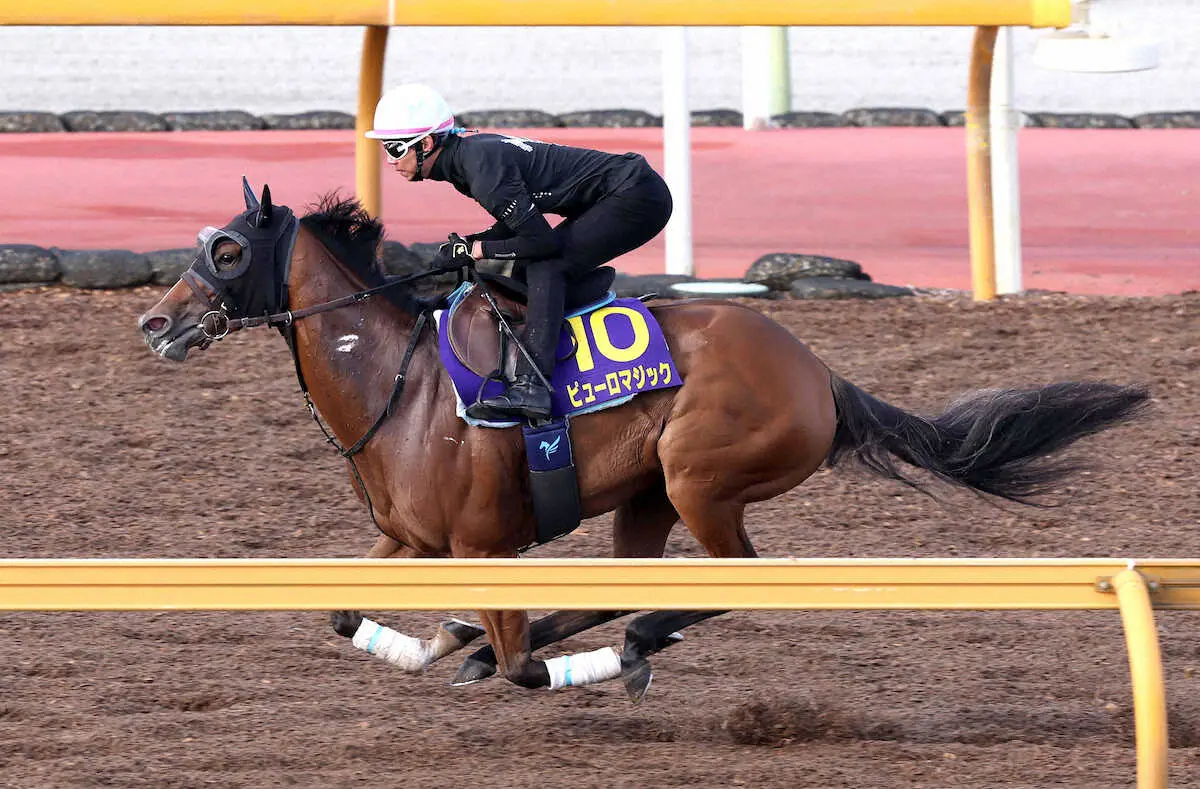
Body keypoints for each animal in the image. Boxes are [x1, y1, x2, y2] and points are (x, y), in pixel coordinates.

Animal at [136, 185, 1147, 700]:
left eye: (227, 250)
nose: (155, 321)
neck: (404, 382)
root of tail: (818, 371)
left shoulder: (483, 545)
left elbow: (523, 667)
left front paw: (501, 647)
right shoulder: (411, 537)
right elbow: (344, 614)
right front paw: (437, 640)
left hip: (700, 478)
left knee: (727, 582)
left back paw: (633, 645)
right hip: (648, 494)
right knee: (629, 582)